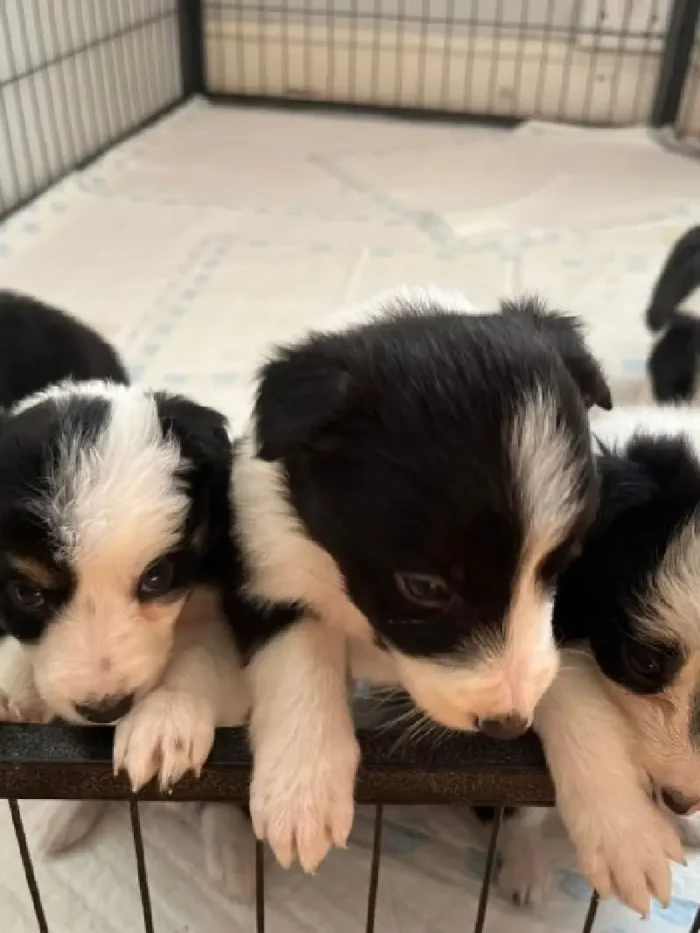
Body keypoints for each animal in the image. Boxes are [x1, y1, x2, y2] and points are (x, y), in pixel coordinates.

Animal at [231, 286, 612, 872]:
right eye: (425, 588)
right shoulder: (265, 554)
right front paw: (302, 789)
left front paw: (624, 824)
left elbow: (565, 673)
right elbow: (299, 645)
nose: (507, 726)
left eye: (563, 563)